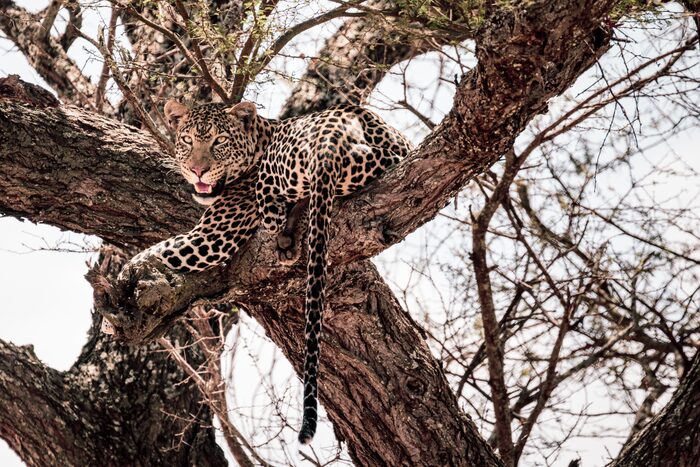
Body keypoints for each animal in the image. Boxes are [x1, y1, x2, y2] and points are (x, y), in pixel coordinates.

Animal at [121, 99, 411, 444]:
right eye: (188, 140)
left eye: (219, 141)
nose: (197, 170)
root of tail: (338, 126)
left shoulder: (212, 236)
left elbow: (157, 250)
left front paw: (124, 278)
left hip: (276, 177)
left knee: (282, 212)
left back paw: (286, 231)